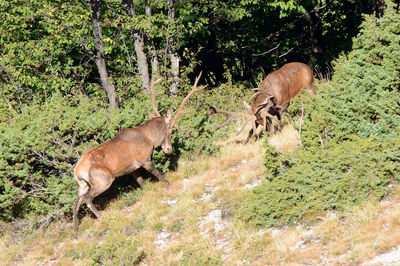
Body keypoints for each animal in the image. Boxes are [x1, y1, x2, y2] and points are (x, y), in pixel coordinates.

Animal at [72, 74, 205, 230]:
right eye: (171, 130)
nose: (168, 150)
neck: (149, 137)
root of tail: (77, 170)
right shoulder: (144, 158)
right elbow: (157, 173)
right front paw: (168, 184)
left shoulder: (133, 168)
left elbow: (142, 182)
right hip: (102, 179)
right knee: (87, 198)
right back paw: (100, 217)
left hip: (82, 184)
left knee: (76, 204)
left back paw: (75, 229)